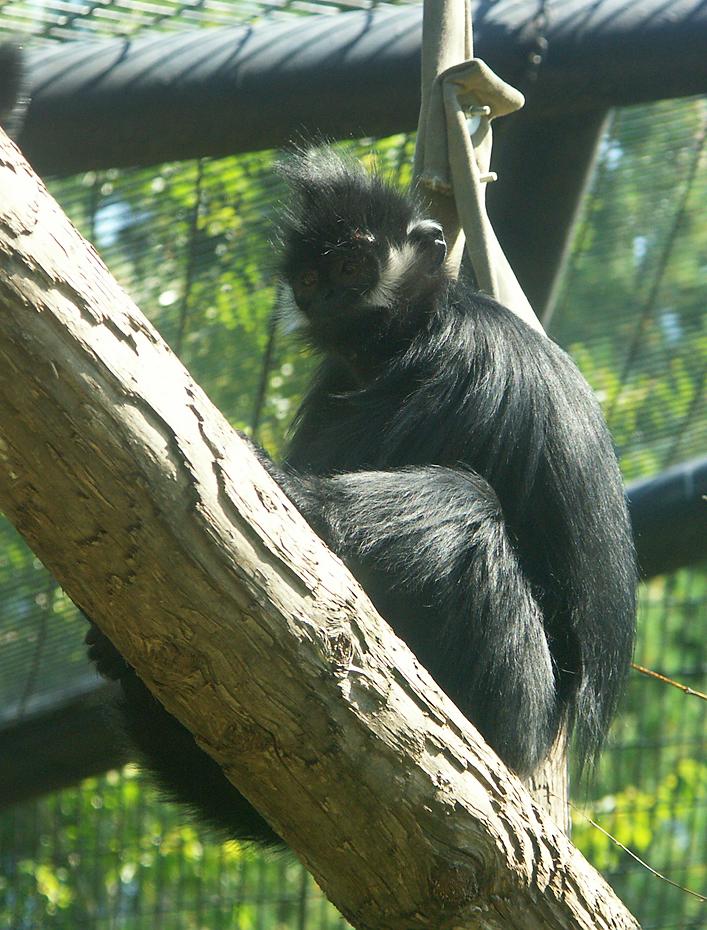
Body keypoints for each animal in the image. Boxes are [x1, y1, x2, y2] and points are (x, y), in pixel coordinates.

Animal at [86, 148, 636, 845]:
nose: (330, 298)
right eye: (312, 277)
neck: (406, 335)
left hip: (518, 702)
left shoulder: (461, 358)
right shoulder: (337, 374)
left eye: (353, 267)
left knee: (466, 501)